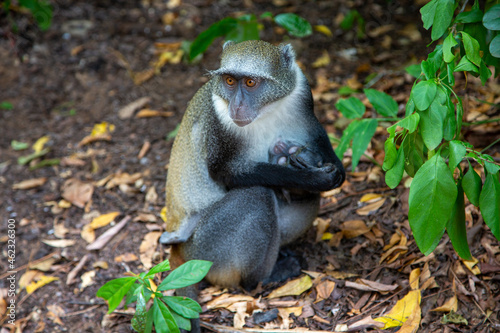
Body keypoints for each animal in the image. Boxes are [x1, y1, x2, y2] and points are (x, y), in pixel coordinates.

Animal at [162, 39, 346, 290]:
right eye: (230, 81)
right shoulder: (219, 123)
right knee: (257, 195)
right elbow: (227, 174)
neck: (265, 111)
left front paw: (337, 171)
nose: (237, 106)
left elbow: (315, 134)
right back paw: (264, 277)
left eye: (250, 82)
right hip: (205, 250)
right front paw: (312, 179)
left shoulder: (301, 90)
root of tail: (181, 251)